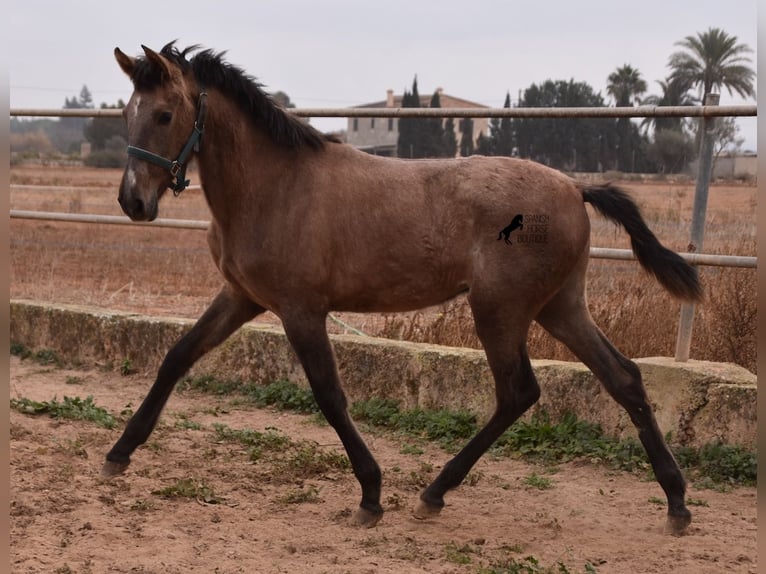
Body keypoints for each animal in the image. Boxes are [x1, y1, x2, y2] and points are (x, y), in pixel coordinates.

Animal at [105, 42, 704, 536]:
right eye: (127, 114)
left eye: (164, 114)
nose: (134, 202)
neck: (276, 187)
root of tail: (575, 187)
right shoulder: (242, 297)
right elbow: (177, 356)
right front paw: (119, 453)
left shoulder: (301, 309)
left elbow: (329, 394)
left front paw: (370, 495)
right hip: (559, 307)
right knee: (622, 378)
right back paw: (676, 503)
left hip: (500, 309)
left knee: (519, 392)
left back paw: (433, 493)